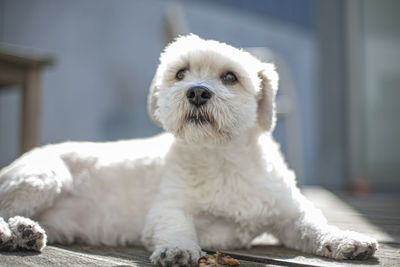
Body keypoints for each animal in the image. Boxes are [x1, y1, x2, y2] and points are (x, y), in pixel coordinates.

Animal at [0, 34, 376, 266]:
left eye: (230, 77)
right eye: (181, 73)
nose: (196, 92)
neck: (222, 158)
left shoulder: (290, 214)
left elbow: (316, 226)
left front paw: (347, 240)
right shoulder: (168, 208)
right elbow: (177, 226)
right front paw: (178, 249)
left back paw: (25, 232)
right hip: (42, 177)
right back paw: (11, 232)